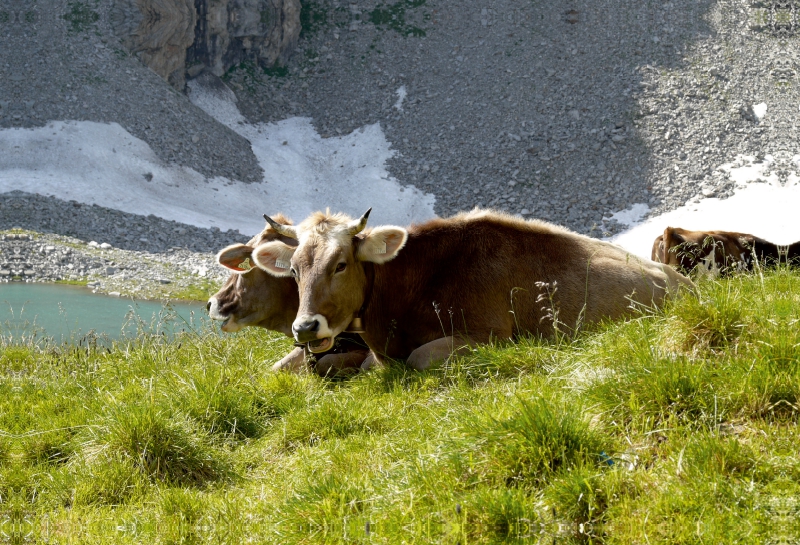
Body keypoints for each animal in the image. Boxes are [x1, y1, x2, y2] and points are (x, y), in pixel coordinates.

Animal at [253, 207, 692, 370]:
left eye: (340, 264)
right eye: (294, 271)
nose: (305, 328)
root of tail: (684, 283)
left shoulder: (488, 336)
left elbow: (418, 359)